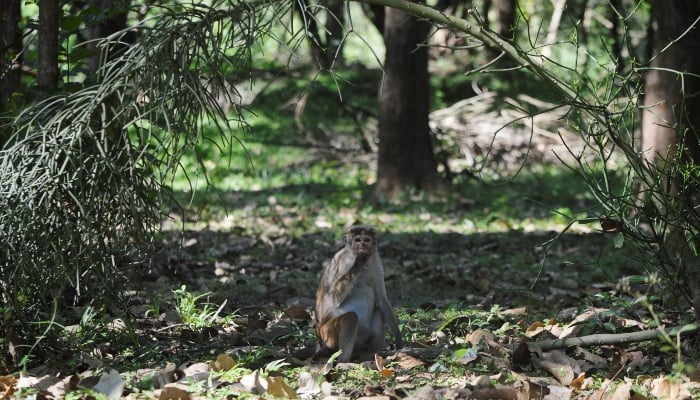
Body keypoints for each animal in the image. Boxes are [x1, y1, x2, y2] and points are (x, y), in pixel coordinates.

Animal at [314, 225, 402, 362]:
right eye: (357, 240)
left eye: (366, 240)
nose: (362, 246)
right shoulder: (342, 262)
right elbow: (332, 297)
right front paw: (358, 261)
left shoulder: (375, 262)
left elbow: (381, 299)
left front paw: (399, 338)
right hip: (328, 335)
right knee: (350, 317)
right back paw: (344, 361)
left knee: (378, 311)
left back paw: (371, 353)